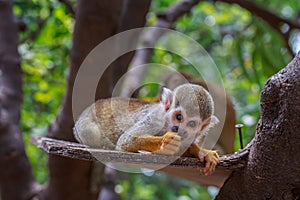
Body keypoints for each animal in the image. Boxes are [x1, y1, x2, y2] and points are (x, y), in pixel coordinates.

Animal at [74, 83, 220, 176]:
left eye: (192, 124)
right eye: (179, 117)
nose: (178, 129)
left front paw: (202, 152)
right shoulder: (156, 119)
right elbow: (126, 141)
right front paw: (164, 142)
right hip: (85, 125)